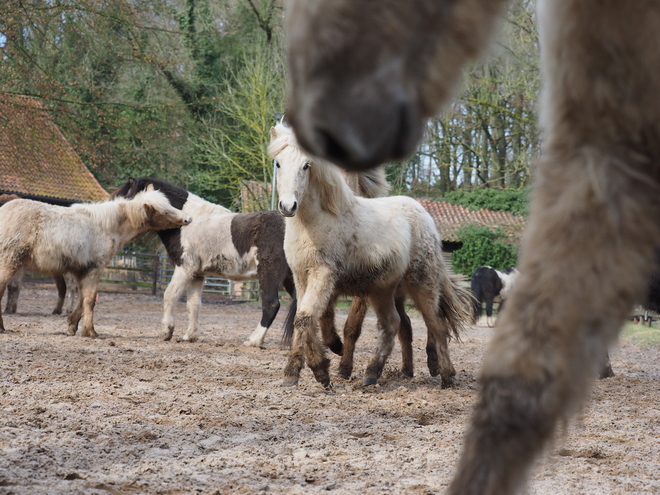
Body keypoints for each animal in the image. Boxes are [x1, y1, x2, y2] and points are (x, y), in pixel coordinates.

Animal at [0, 188, 191, 340]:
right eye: (164, 212)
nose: (188, 218)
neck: (107, 226)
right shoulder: (95, 269)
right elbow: (90, 300)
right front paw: (90, 331)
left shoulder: (83, 271)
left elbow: (83, 298)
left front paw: (72, 325)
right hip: (10, 262)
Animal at [268, 123, 474, 388]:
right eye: (278, 163)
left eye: (306, 165)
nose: (288, 206)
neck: (313, 222)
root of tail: (425, 215)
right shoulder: (301, 277)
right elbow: (306, 319)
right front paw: (305, 372)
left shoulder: (322, 274)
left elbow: (306, 318)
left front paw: (314, 372)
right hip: (382, 290)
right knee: (392, 323)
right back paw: (372, 373)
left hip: (421, 283)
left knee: (436, 324)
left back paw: (446, 376)